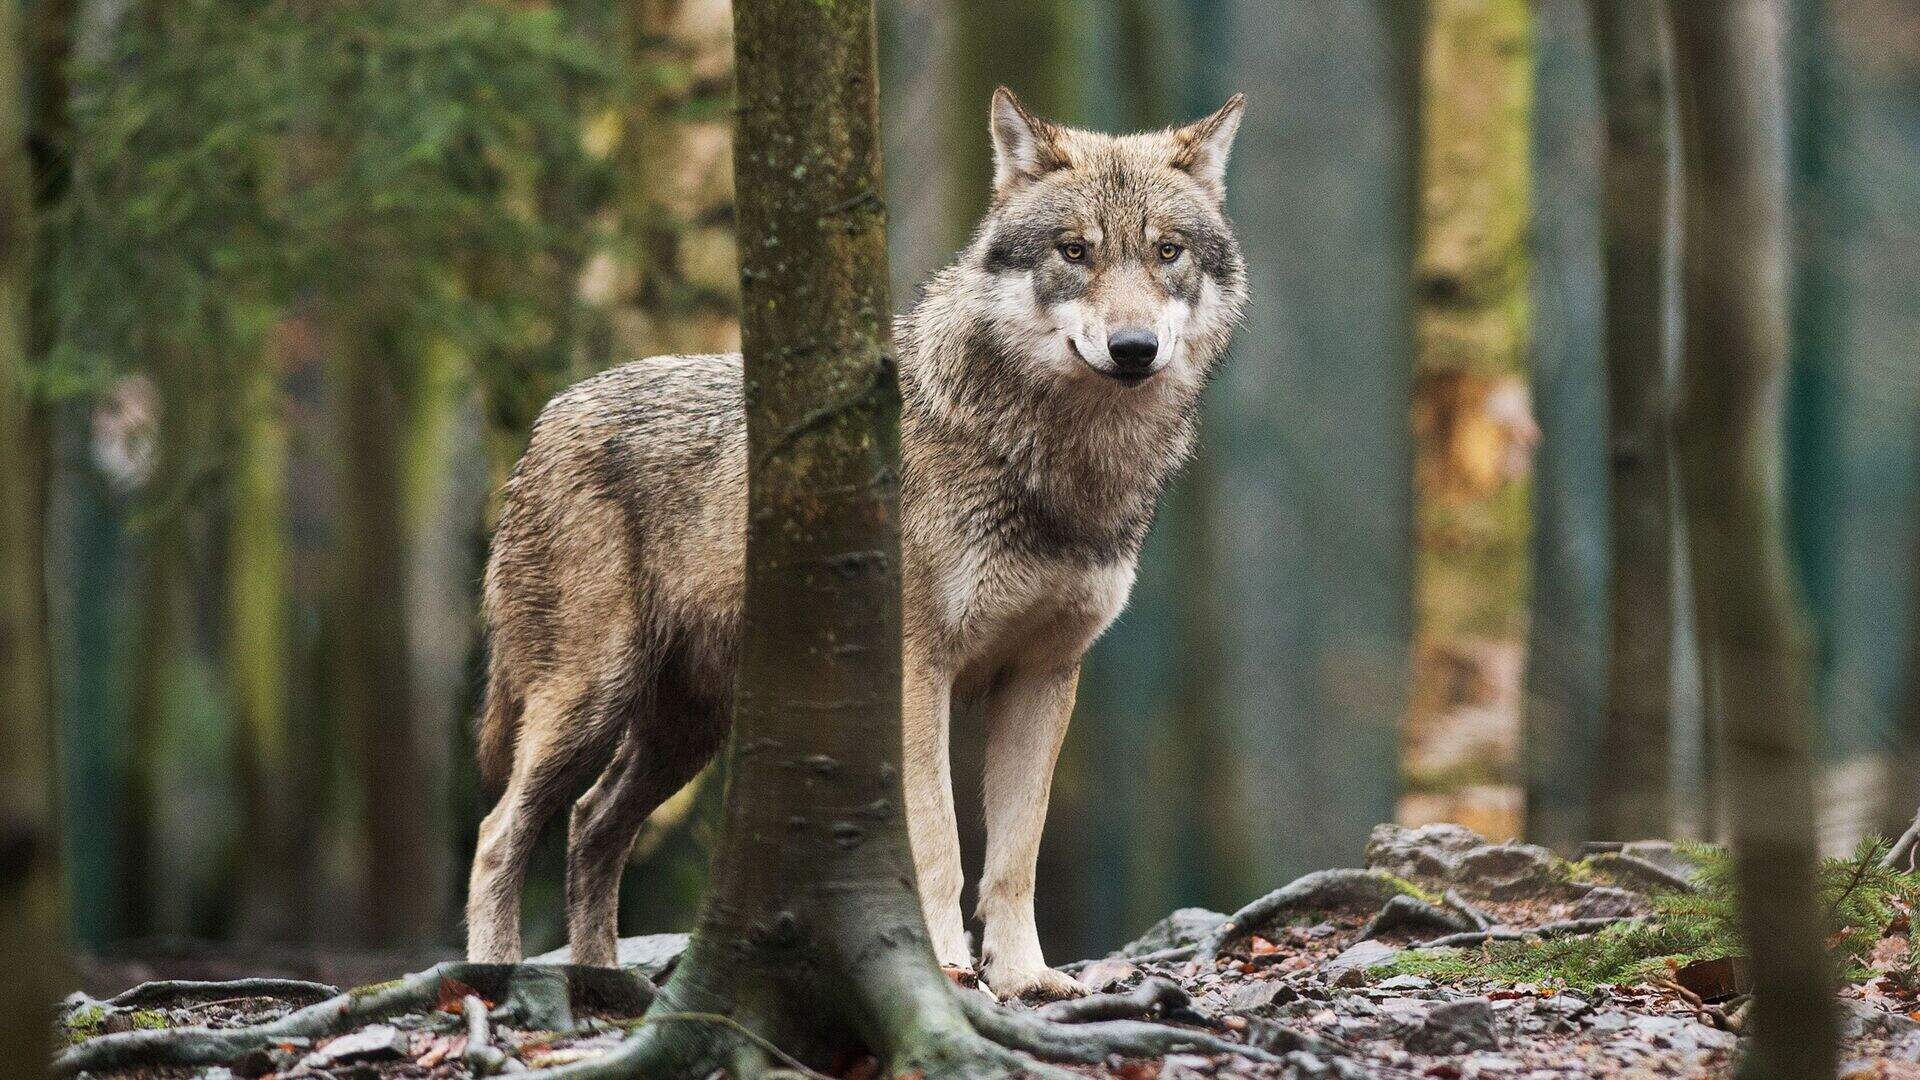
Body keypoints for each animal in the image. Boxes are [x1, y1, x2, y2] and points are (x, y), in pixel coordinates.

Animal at [465, 87, 1248, 1000]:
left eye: (1167, 252)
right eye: (1074, 251)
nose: (1133, 349)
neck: (1057, 466)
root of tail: (546, 420)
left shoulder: (1045, 676)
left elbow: (1016, 855)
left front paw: (1026, 978)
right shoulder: (917, 669)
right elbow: (939, 842)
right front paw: (944, 966)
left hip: (685, 732)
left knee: (591, 826)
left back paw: (603, 984)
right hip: (590, 700)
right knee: (499, 834)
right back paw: (495, 978)